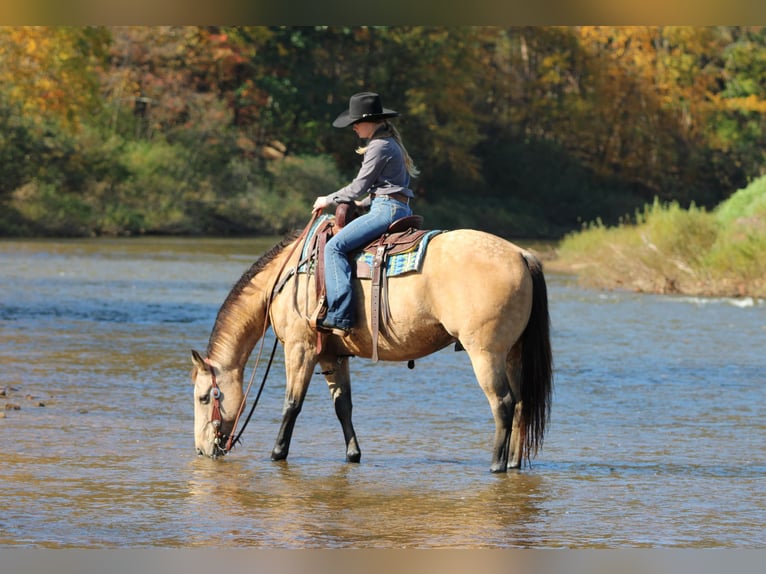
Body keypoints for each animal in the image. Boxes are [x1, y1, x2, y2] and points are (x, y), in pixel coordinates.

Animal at [190, 223, 553, 472]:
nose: (202, 450)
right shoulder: (331, 355)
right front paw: (353, 454)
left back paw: (496, 464)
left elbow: (291, 404)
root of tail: (521, 255)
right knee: (521, 404)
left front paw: (277, 453)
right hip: (512, 353)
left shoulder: (300, 347)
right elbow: (343, 406)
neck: (291, 276)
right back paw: (514, 462)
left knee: (503, 403)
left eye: (205, 397)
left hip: (486, 354)